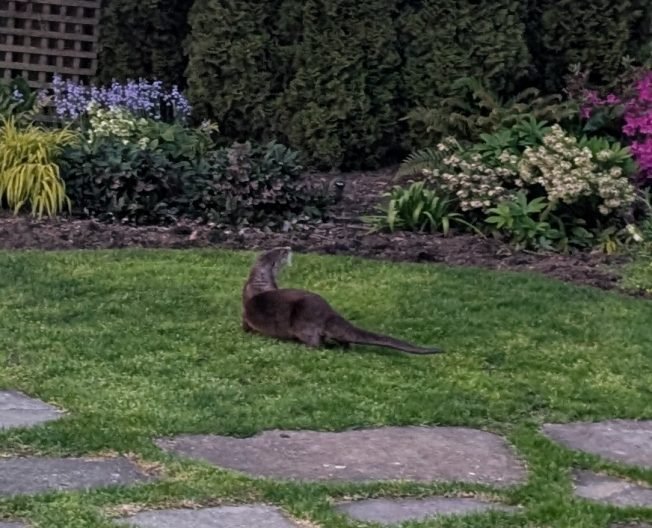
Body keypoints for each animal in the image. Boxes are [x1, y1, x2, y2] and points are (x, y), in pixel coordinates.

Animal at [241, 247, 443, 355]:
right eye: (282, 252)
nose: (289, 247)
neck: (258, 281)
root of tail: (328, 312)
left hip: (302, 324)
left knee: (316, 343)